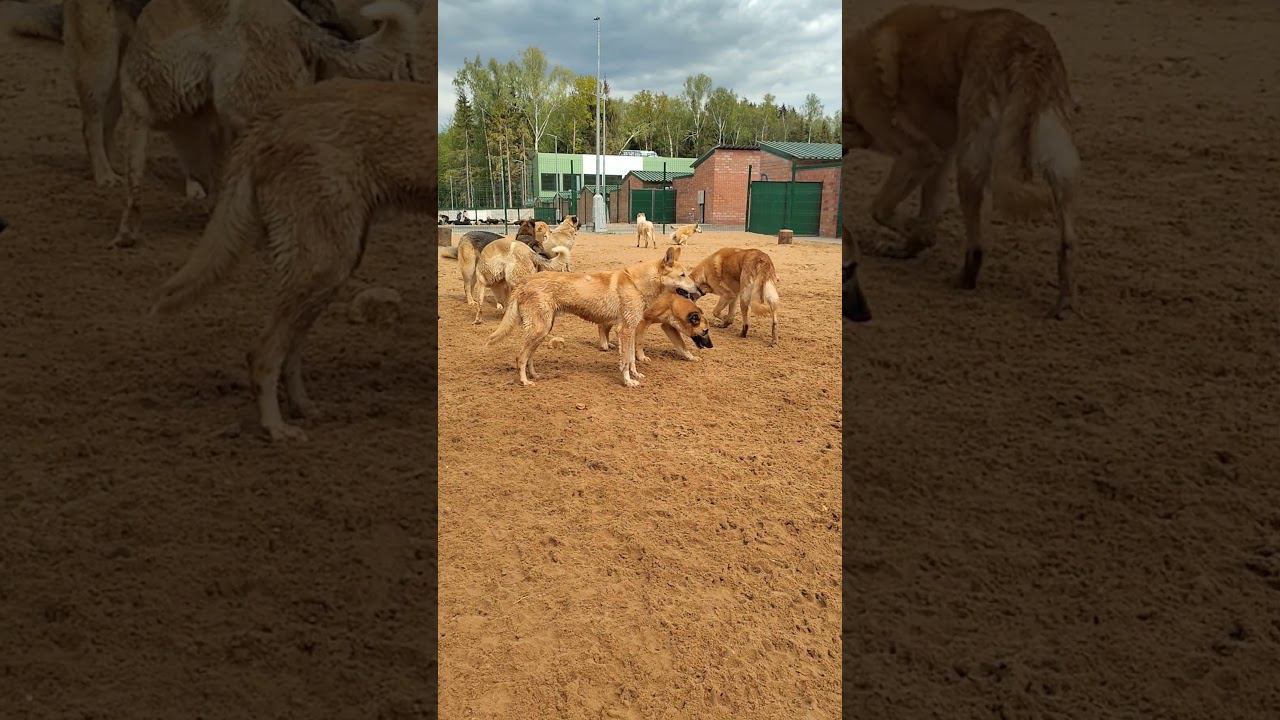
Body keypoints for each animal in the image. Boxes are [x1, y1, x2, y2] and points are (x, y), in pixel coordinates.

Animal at [149, 77, 435, 438]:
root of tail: (270, 116)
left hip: (325, 269)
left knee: (289, 352)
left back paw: (302, 408)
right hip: (324, 265)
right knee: (262, 354)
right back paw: (275, 427)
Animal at [488, 243, 706, 384]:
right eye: (682, 275)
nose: (699, 289)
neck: (636, 284)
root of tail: (525, 282)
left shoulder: (631, 330)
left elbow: (632, 358)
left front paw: (636, 375)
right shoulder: (625, 330)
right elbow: (625, 360)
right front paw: (628, 382)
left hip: (542, 330)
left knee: (529, 356)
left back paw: (534, 375)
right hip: (538, 330)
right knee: (520, 357)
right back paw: (525, 381)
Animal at [849, 4, 1080, 315]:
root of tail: (1026, 43)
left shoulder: (919, 154)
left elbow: (881, 209)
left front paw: (919, 236)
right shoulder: (938, 159)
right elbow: (927, 209)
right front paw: (910, 246)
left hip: (971, 163)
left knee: (977, 249)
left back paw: (964, 279)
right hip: (1058, 161)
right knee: (1067, 242)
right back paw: (1065, 299)